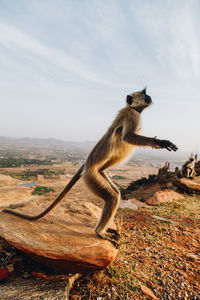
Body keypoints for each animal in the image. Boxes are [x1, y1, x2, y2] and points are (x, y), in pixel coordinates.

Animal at [3, 88, 178, 246]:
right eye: (144, 93)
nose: (149, 96)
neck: (134, 108)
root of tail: (87, 163)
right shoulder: (131, 115)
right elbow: (128, 137)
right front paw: (161, 142)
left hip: (97, 174)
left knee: (114, 190)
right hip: (91, 176)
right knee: (112, 197)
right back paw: (100, 232)